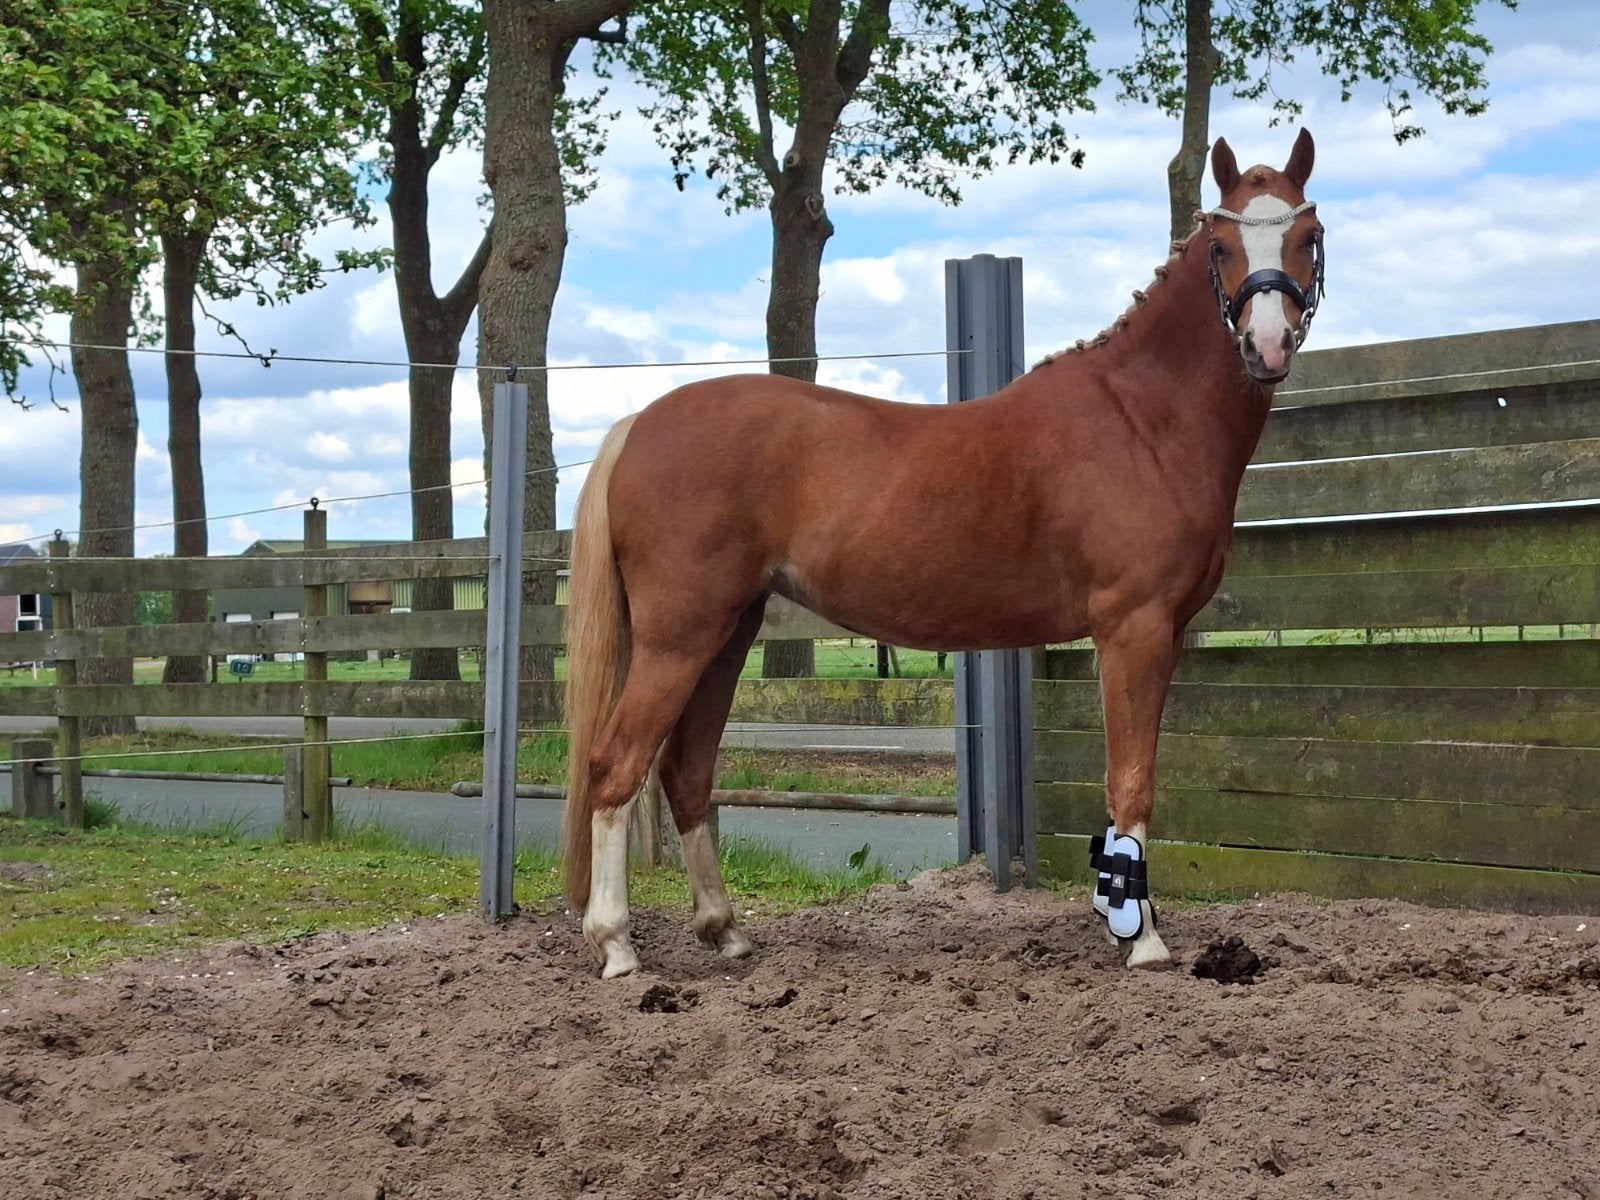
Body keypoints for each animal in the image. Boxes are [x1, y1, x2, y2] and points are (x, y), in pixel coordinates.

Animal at [561, 130, 1324, 978]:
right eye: (1222, 246)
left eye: (1308, 236)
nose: (1266, 345)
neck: (1141, 419)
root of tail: (638, 424)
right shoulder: (1136, 629)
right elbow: (1132, 782)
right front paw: (1144, 940)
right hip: (678, 636)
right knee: (616, 766)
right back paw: (615, 944)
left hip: (727, 634)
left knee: (684, 772)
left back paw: (723, 929)